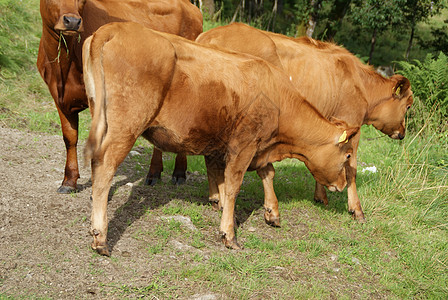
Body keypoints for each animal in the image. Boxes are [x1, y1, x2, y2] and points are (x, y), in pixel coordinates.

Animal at [37, 0, 202, 193]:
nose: (72, 21)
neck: (63, 67)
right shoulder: (59, 98)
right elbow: (69, 138)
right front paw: (69, 181)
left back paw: (179, 173)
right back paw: (154, 174)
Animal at [81, 22, 360, 255]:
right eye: (347, 155)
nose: (341, 185)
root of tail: (116, 27)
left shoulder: (235, 147)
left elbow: (250, 176)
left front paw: (266, 212)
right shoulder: (245, 145)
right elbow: (234, 184)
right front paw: (229, 234)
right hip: (126, 127)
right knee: (104, 167)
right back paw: (100, 237)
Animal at [196, 23, 412, 223]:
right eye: (408, 106)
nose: (402, 133)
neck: (359, 82)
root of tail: (210, 35)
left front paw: (321, 195)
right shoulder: (352, 126)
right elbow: (351, 169)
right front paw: (356, 209)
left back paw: (216, 198)